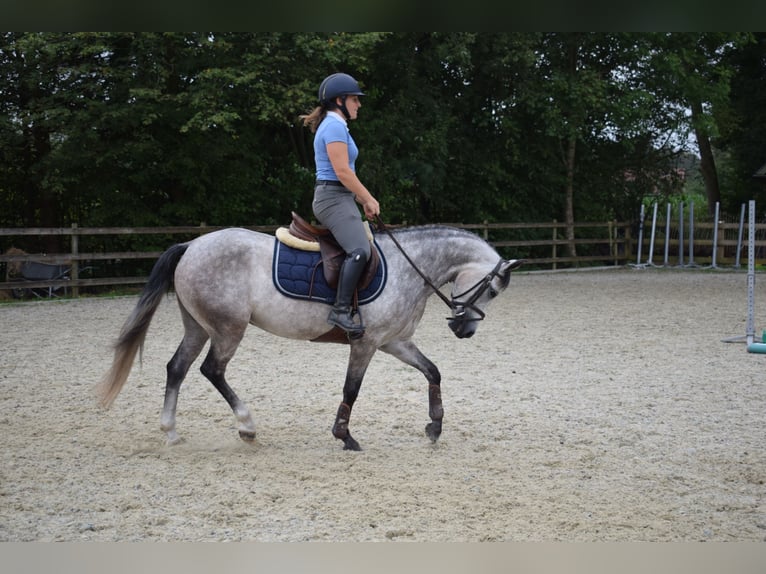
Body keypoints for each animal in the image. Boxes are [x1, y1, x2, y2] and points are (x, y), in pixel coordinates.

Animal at [96, 223, 524, 452]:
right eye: (492, 290)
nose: (463, 329)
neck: (409, 267)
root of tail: (191, 245)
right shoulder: (366, 344)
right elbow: (351, 389)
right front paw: (345, 436)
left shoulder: (394, 342)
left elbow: (433, 372)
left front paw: (434, 427)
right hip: (228, 329)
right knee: (212, 370)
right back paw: (247, 426)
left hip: (198, 327)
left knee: (177, 368)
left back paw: (171, 431)